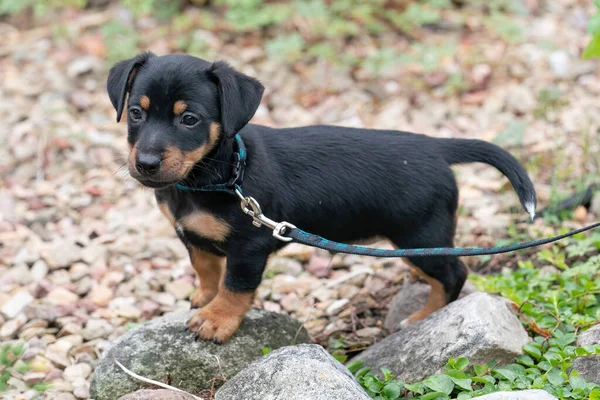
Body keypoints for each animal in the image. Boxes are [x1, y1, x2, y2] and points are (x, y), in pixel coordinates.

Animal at [106, 52, 536, 344]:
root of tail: (436, 148)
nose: (145, 164)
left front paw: (216, 319)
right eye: (136, 113)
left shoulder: (249, 245)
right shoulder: (191, 234)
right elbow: (207, 268)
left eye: (189, 119)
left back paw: (424, 317)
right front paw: (203, 299)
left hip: (419, 232)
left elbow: (235, 286)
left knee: (454, 273)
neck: (216, 177)